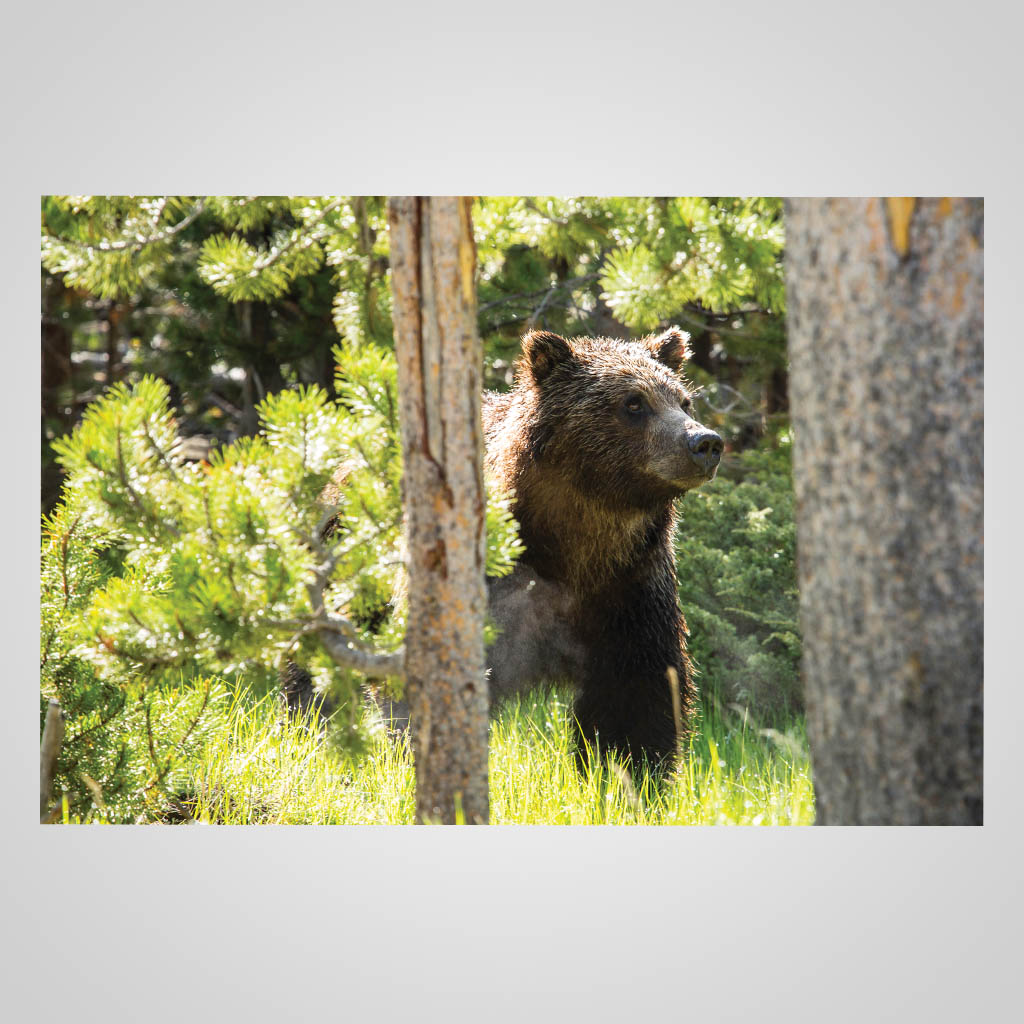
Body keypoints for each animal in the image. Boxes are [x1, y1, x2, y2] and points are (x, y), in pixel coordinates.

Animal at [481, 327, 722, 770]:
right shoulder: (504, 582)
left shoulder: (631, 590)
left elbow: (636, 698)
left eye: (683, 400)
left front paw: (626, 770)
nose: (705, 443)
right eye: (634, 403)